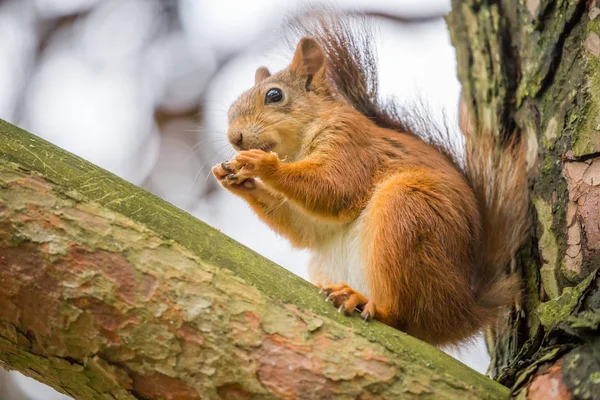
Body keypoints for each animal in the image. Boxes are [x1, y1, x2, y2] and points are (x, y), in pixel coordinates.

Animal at [210, 15, 524, 346]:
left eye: (274, 95)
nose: (234, 138)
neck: (296, 147)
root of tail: (461, 312)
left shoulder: (351, 141)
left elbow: (335, 187)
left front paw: (262, 164)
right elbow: (307, 227)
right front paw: (234, 179)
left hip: (407, 213)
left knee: (403, 317)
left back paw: (366, 303)